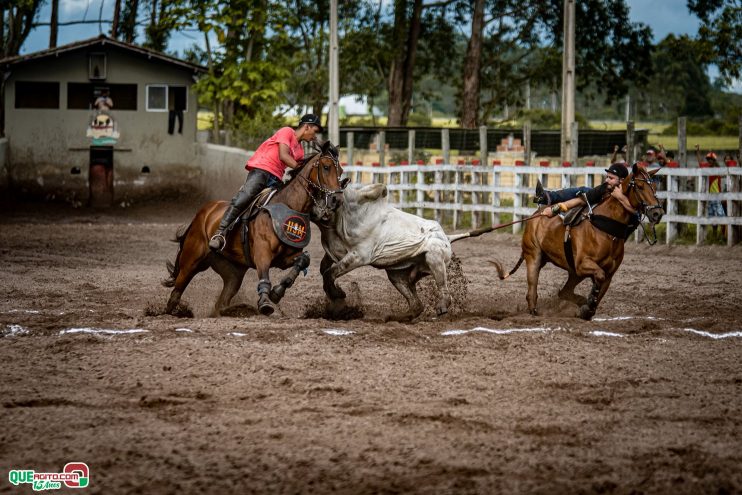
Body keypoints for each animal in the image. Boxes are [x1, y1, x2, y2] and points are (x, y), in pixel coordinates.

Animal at [163, 140, 346, 318]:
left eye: (341, 170)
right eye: (326, 167)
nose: (337, 199)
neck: (288, 206)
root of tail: (203, 212)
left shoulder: (286, 257)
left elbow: (303, 261)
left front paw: (276, 293)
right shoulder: (262, 253)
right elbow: (264, 276)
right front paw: (265, 302)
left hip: (233, 273)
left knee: (221, 302)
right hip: (191, 262)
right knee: (176, 293)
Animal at [312, 183, 464, 322]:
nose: (314, 213)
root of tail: (447, 237)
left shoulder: (358, 256)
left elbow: (329, 273)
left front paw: (338, 295)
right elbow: (324, 268)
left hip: (434, 256)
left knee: (440, 284)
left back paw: (442, 305)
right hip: (398, 275)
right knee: (416, 303)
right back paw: (398, 317)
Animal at [496, 166, 664, 322]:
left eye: (655, 188)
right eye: (640, 187)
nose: (657, 213)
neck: (606, 231)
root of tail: (537, 214)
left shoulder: (608, 273)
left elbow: (600, 287)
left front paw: (587, 308)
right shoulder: (583, 264)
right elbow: (598, 278)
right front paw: (588, 304)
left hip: (573, 272)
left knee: (563, 292)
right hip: (534, 256)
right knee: (532, 291)